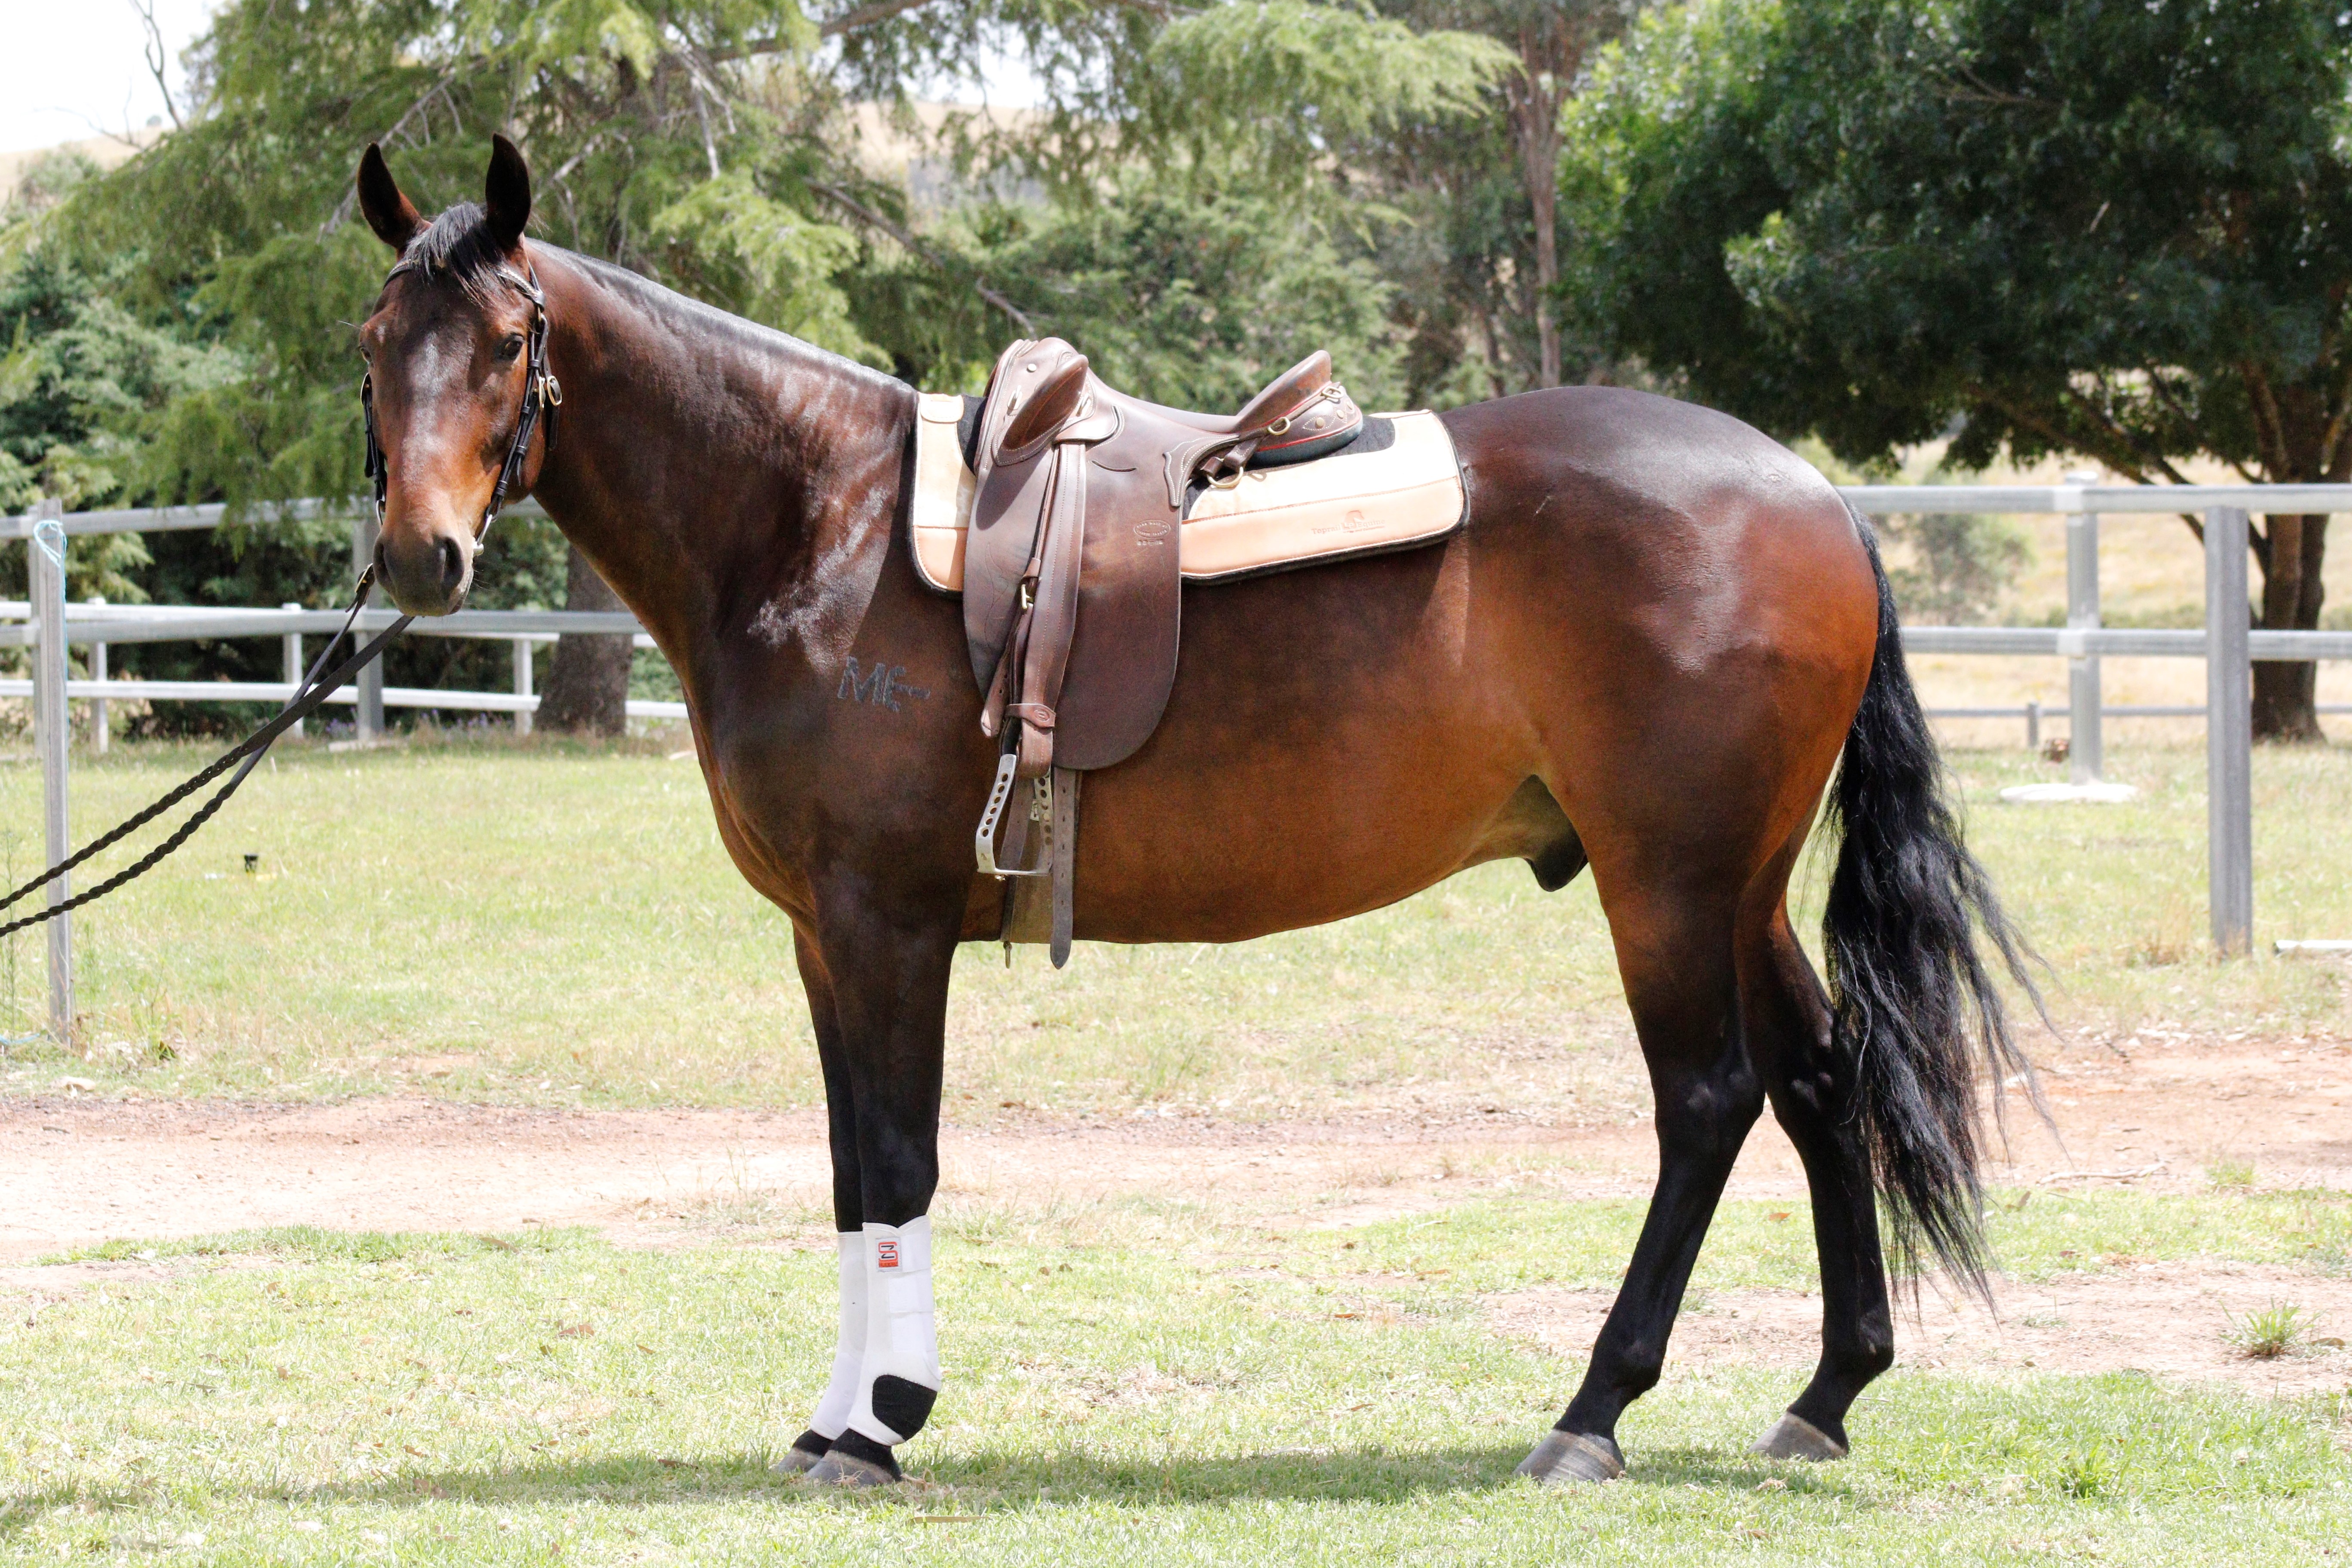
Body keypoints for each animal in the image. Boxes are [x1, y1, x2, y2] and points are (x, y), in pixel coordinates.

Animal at [350, 136, 2034, 1488]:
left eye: (508, 339)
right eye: (375, 341)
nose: (427, 555)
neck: (810, 523)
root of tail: (1821, 501)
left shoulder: (890, 924)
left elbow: (898, 1160)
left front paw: (884, 1421)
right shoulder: (826, 939)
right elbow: (845, 1171)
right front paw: (835, 1414)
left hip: (1667, 883)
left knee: (1708, 1101)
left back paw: (1591, 1413)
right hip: (1737, 882)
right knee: (1821, 1081)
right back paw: (1825, 1392)